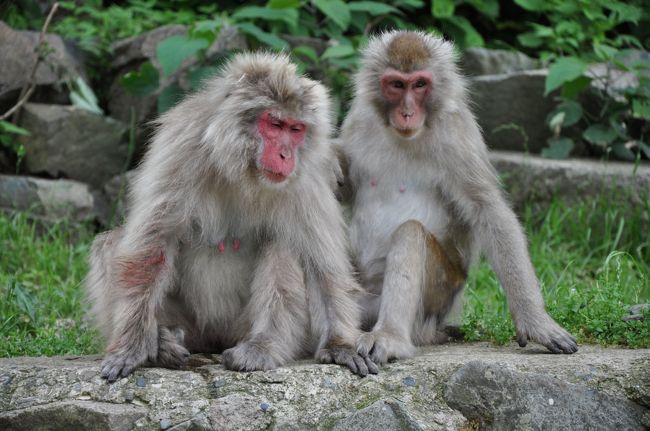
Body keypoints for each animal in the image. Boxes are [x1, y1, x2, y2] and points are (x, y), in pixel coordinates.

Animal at [88, 51, 378, 382]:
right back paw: (161, 343)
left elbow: (322, 266)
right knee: (110, 244)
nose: (285, 155)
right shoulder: (182, 149)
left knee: (283, 244)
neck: (242, 170)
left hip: (242, 327)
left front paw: (341, 345)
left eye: (296, 130)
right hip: (192, 327)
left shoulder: (310, 173)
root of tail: (214, 341)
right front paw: (132, 346)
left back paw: (261, 347)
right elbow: (153, 247)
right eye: (275, 124)